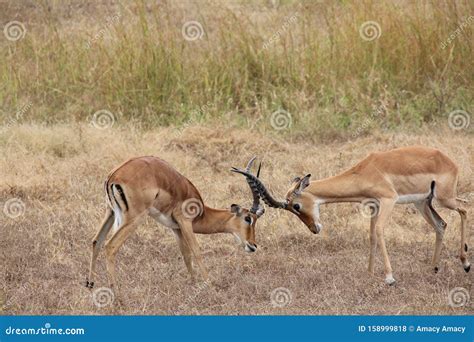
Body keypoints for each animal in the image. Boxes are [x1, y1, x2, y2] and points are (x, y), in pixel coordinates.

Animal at [85, 156, 262, 292]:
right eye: (248, 218)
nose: (253, 245)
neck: (202, 212)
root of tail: (114, 175)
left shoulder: (176, 228)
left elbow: (186, 255)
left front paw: (193, 284)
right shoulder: (185, 222)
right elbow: (196, 251)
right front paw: (210, 285)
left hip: (110, 212)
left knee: (96, 241)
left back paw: (90, 284)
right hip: (134, 218)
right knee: (111, 246)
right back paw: (118, 296)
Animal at [233, 146, 470, 284]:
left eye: (296, 206)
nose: (314, 229)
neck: (365, 171)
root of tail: (449, 161)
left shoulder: (388, 200)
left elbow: (380, 231)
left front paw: (389, 278)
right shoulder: (374, 205)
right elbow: (372, 235)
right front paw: (370, 273)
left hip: (445, 198)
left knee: (465, 208)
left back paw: (466, 263)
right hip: (423, 203)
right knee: (441, 224)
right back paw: (434, 268)